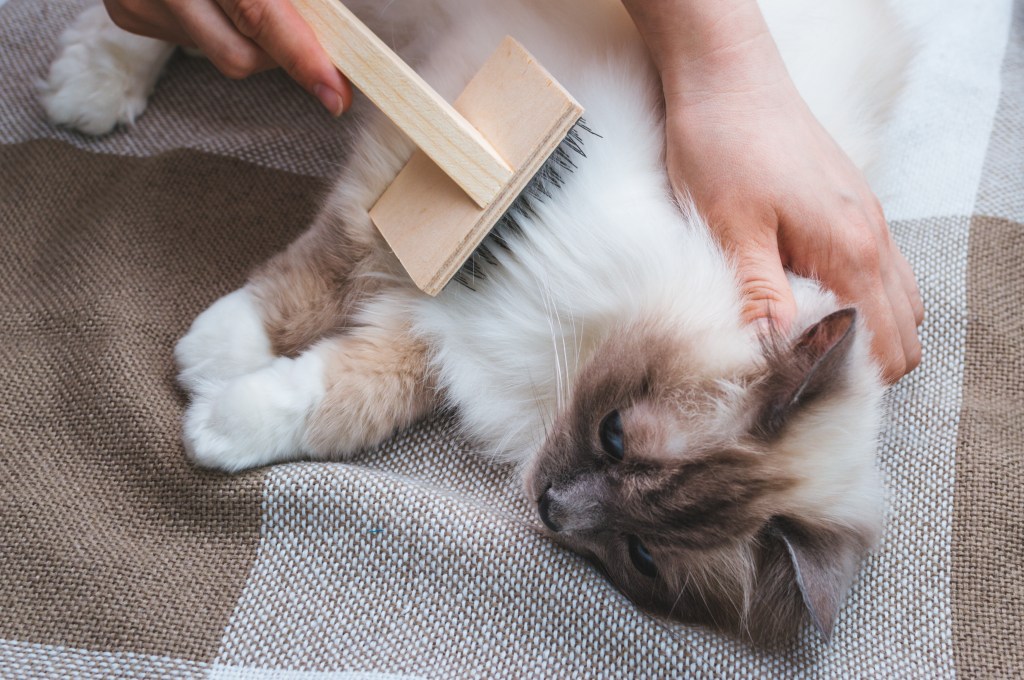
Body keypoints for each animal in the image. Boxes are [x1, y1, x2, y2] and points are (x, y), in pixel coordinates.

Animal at [44, 0, 917, 643]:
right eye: (615, 435)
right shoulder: (414, 178)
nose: (553, 508)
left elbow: (340, 397)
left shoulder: (450, 338)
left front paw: (221, 421)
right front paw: (212, 353)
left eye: (641, 555)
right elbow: (310, 280)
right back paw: (90, 86)